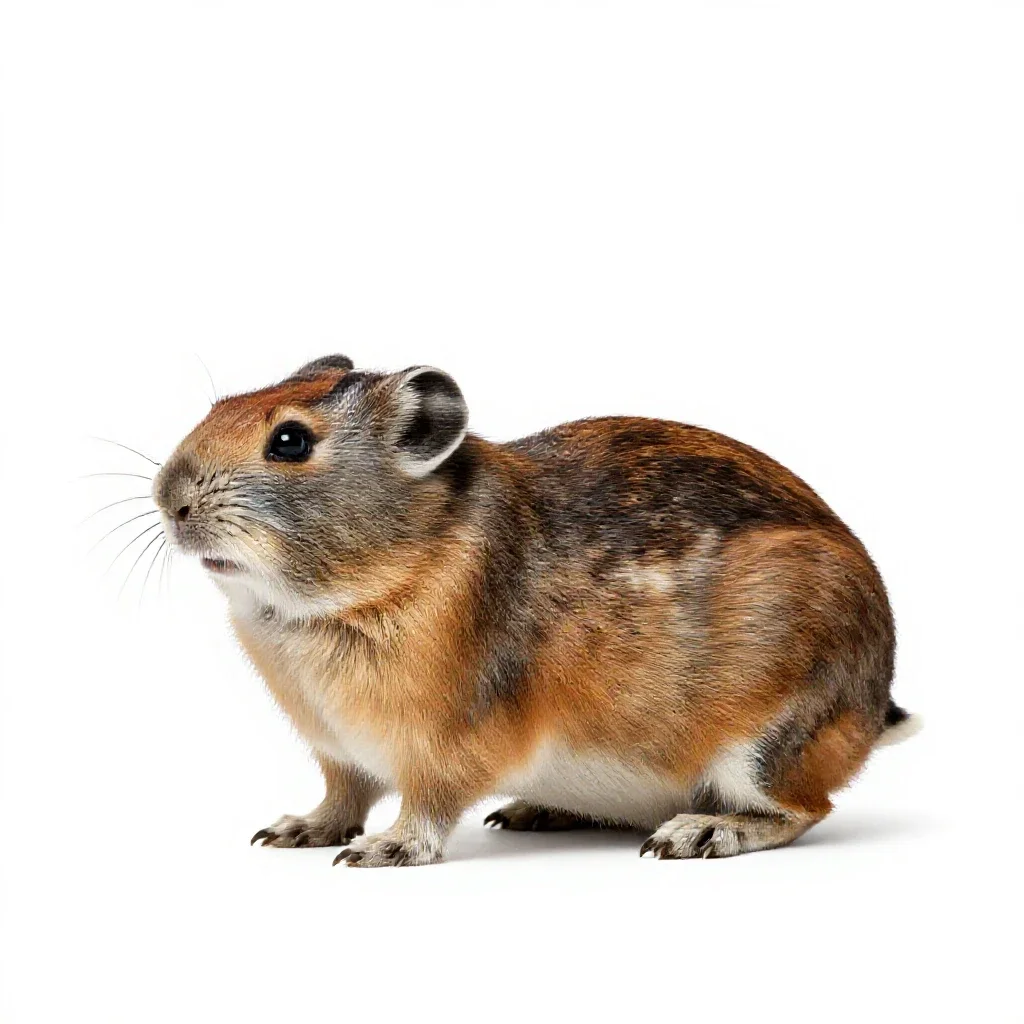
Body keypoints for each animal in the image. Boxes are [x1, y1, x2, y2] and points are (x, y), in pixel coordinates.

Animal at [152, 354, 919, 867]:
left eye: (289, 440)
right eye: (225, 404)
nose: (169, 497)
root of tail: (873, 708)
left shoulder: (444, 745)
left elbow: (425, 808)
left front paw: (385, 848)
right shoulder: (338, 752)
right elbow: (341, 796)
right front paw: (297, 831)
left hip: (766, 742)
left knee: (804, 807)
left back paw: (700, 832)